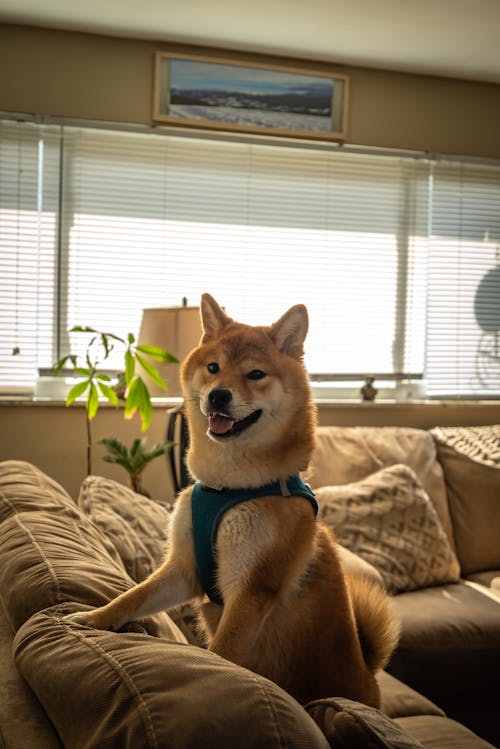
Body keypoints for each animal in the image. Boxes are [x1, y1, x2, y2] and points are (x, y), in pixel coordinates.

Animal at [69, 294, 398, 708]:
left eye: (255, 374)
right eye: (213, 368)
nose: (218, 395)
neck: (225, 487)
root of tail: (369, 674)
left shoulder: (251, 590)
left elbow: (222, 651)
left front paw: (218, 684)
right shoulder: (185, 569)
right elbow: (133, 596)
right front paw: (93, 619)